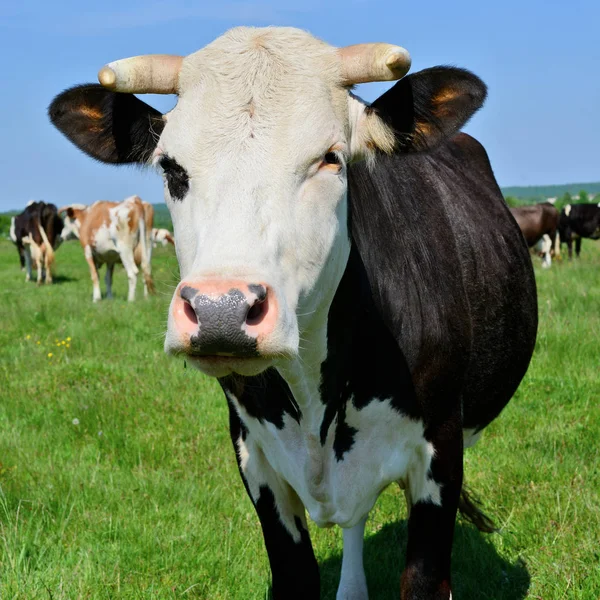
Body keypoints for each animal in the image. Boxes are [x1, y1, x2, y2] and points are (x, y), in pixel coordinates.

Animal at [50, 27, 540, 600]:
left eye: (331, 158)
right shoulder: (255, 460)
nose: (220, 310)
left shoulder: (440, 452)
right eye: (171, 167)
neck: (314, 400)